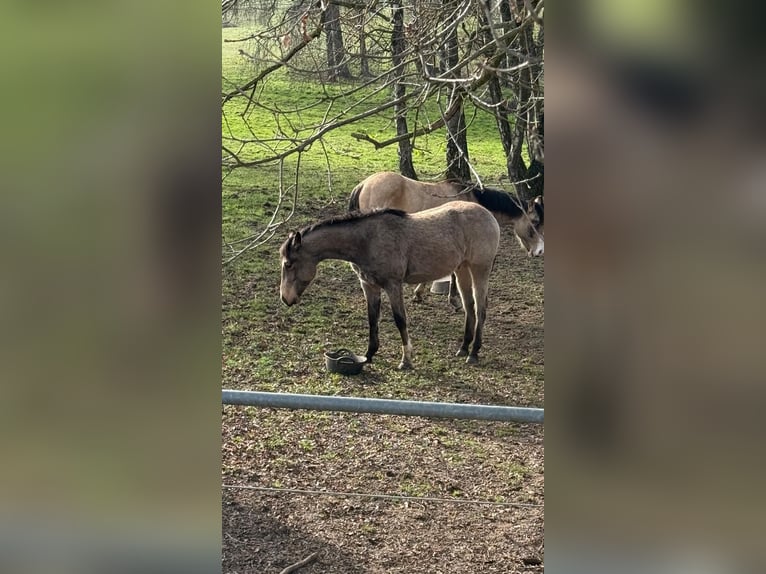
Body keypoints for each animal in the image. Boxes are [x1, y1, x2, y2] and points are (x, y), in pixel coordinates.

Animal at [279, 202, 501, 369]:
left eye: (289, 264)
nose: (285, 298)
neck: (368, 240)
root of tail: (488, 215)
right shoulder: (369, 286)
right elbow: (372, 319)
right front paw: (368, 355)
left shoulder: (393, 285)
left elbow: (400, 320)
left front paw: (406, 360)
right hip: (462, 270)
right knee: (469, 308)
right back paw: (463, 347)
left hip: (479, 270)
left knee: (480, 309)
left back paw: (473, 353)